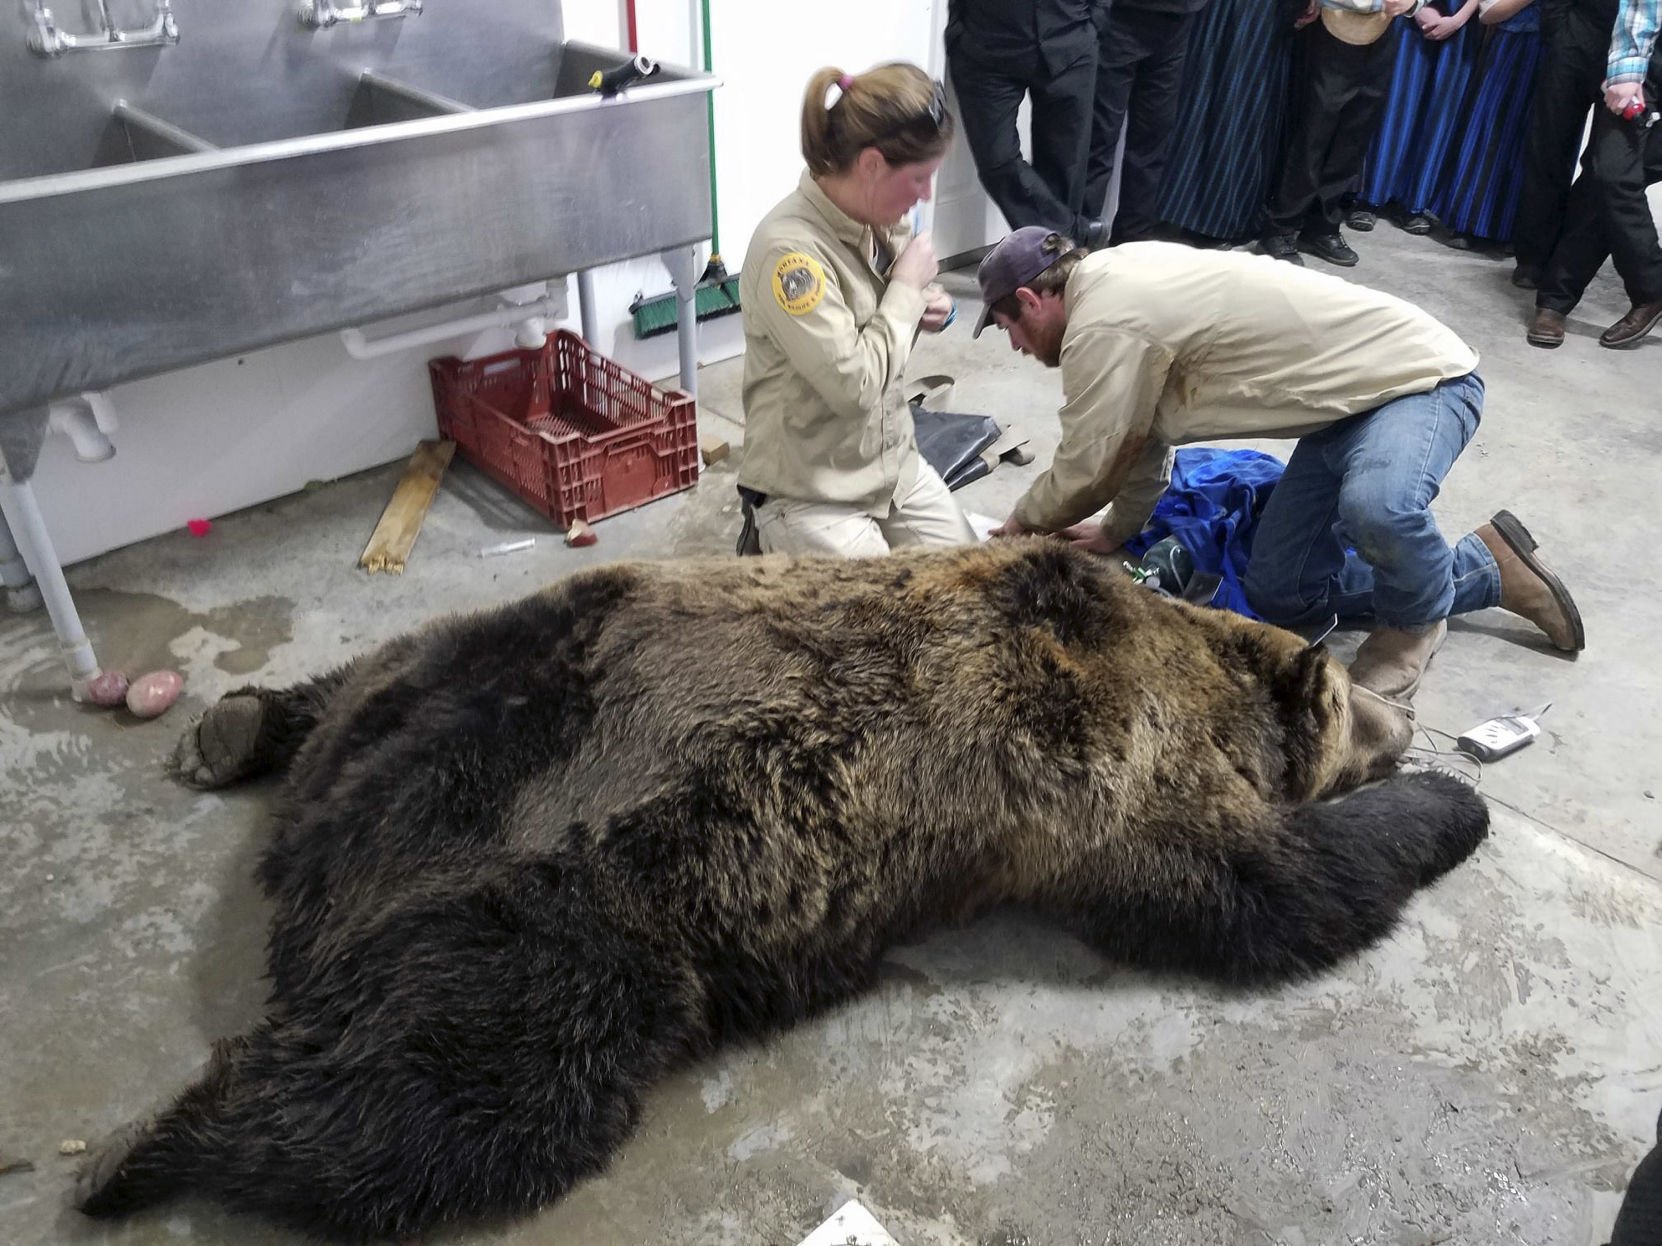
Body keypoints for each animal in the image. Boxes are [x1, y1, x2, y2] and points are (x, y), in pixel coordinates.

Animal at [74, 541, 1482, 1242]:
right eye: (1366, 709)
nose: (1407, 719)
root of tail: (334, 827)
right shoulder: (1106, 761)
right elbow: (1268, 889)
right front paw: (1450, 805)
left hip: (468, 653)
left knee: (369, 665)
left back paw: (239, 726)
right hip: (551, 910)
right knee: (445, 1102)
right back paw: (133, 1155)